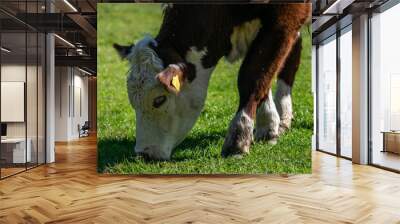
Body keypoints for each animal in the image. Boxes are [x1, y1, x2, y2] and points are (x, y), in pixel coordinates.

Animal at [114, 3, 310, 161]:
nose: (143, 153)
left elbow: (253, 75)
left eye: (159, 100)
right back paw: (284, 118)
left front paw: (238, 139)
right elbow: (265, 76)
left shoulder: (285, 17)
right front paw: (268, 126)